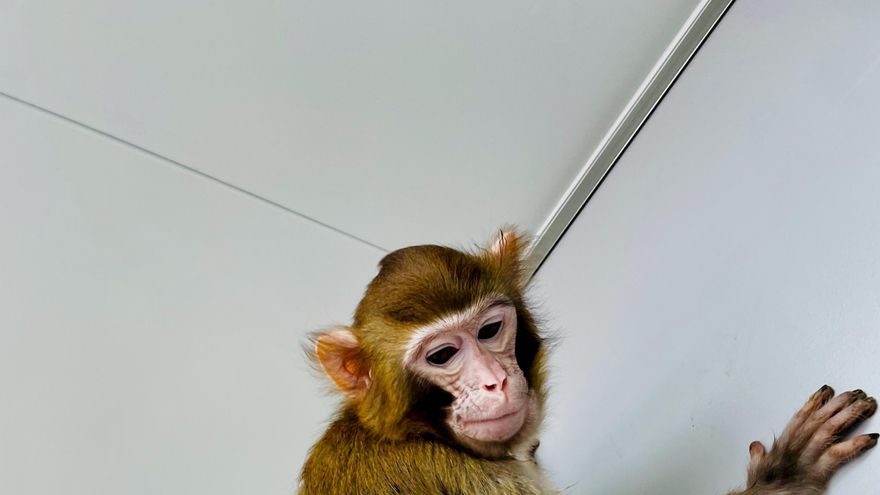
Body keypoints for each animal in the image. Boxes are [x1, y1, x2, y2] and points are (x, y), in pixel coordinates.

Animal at [298, 229, 877, 494]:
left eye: (489, 331)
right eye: (443, 355)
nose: (493, 382)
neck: (417, 434)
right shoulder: (460, 478)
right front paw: (784, 475)